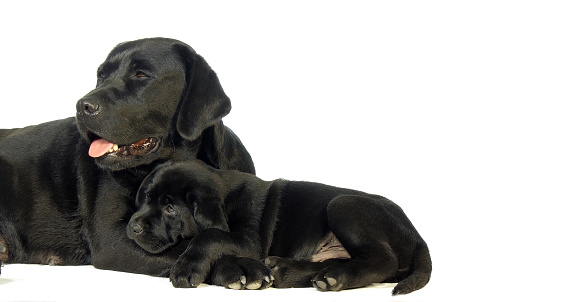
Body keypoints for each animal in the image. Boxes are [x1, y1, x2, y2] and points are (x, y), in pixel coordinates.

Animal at [0, 37, 255, 276]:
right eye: (101, 75)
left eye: (141, 74)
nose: (82, 106)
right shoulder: (114, 238)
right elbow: (183, 245)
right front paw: (239, 266)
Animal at [126, 160, 428, 294]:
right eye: (146, 199)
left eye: (170, 208)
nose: (132, 227)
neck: (227, 199)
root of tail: (417, 236)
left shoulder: (250, 240)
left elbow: (209, 235)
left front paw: (188, 268)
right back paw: (292, 270)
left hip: (344, 204)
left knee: (383, 260)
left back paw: (335, 277)